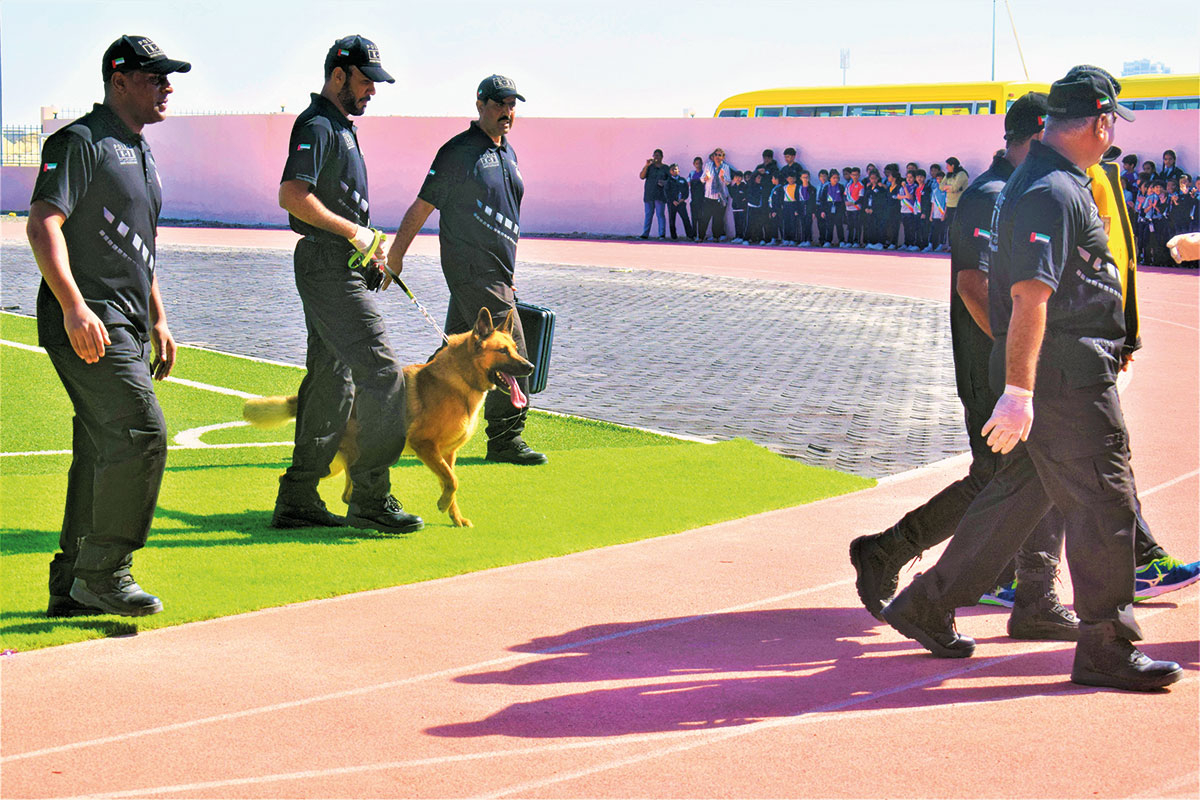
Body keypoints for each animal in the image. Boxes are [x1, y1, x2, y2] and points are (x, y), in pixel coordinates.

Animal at [243, 309, 535, 527]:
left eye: (515, 348)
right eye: (503, 351)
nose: (531, 367)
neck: (461, 380)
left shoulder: (447, 454)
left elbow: (451, 482)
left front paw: (455, 517)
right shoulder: (425, 445)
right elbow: (453, 481)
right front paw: (442, 504)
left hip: (345, 462)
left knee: (346, 492)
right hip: (329, 465)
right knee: (291, 476)